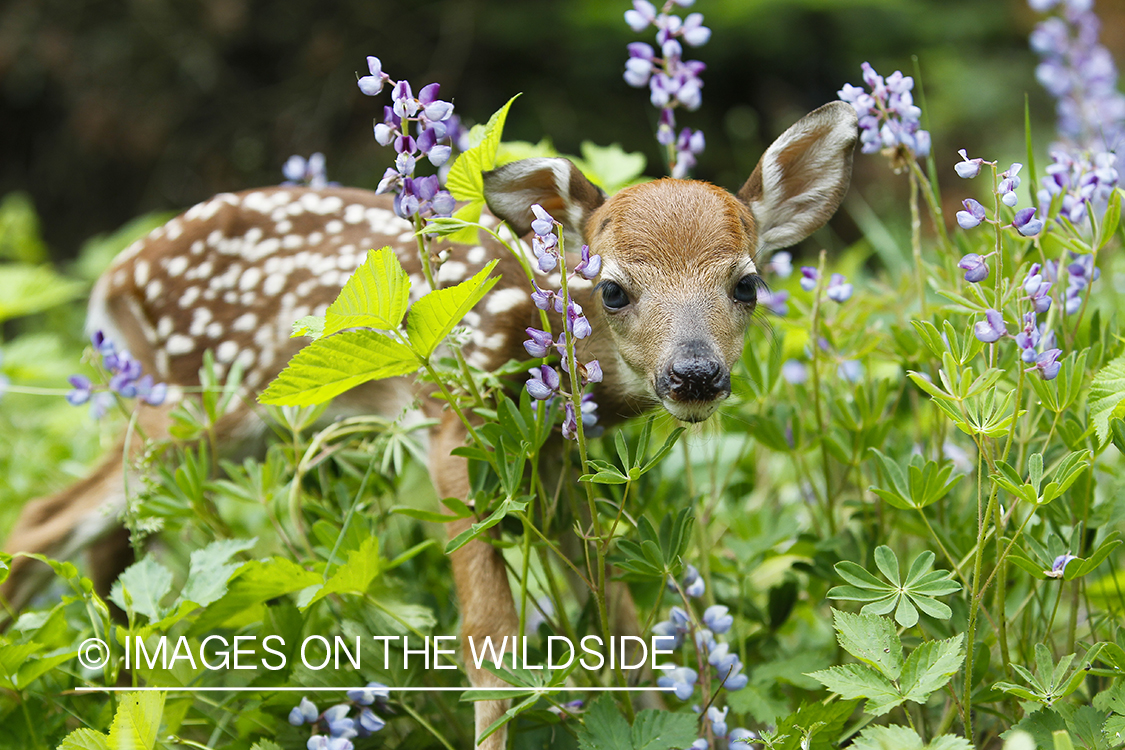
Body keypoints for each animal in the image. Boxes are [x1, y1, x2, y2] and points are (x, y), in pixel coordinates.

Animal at [1, 101, 857, 749]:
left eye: (746, 283)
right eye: (613, 288)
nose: (694, 375)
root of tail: (115, 276)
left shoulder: (553, 463)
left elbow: (620, 614)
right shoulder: (456, 425)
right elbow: (490, 636)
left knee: (112, 535)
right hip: (186, 401)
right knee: (46, 515)